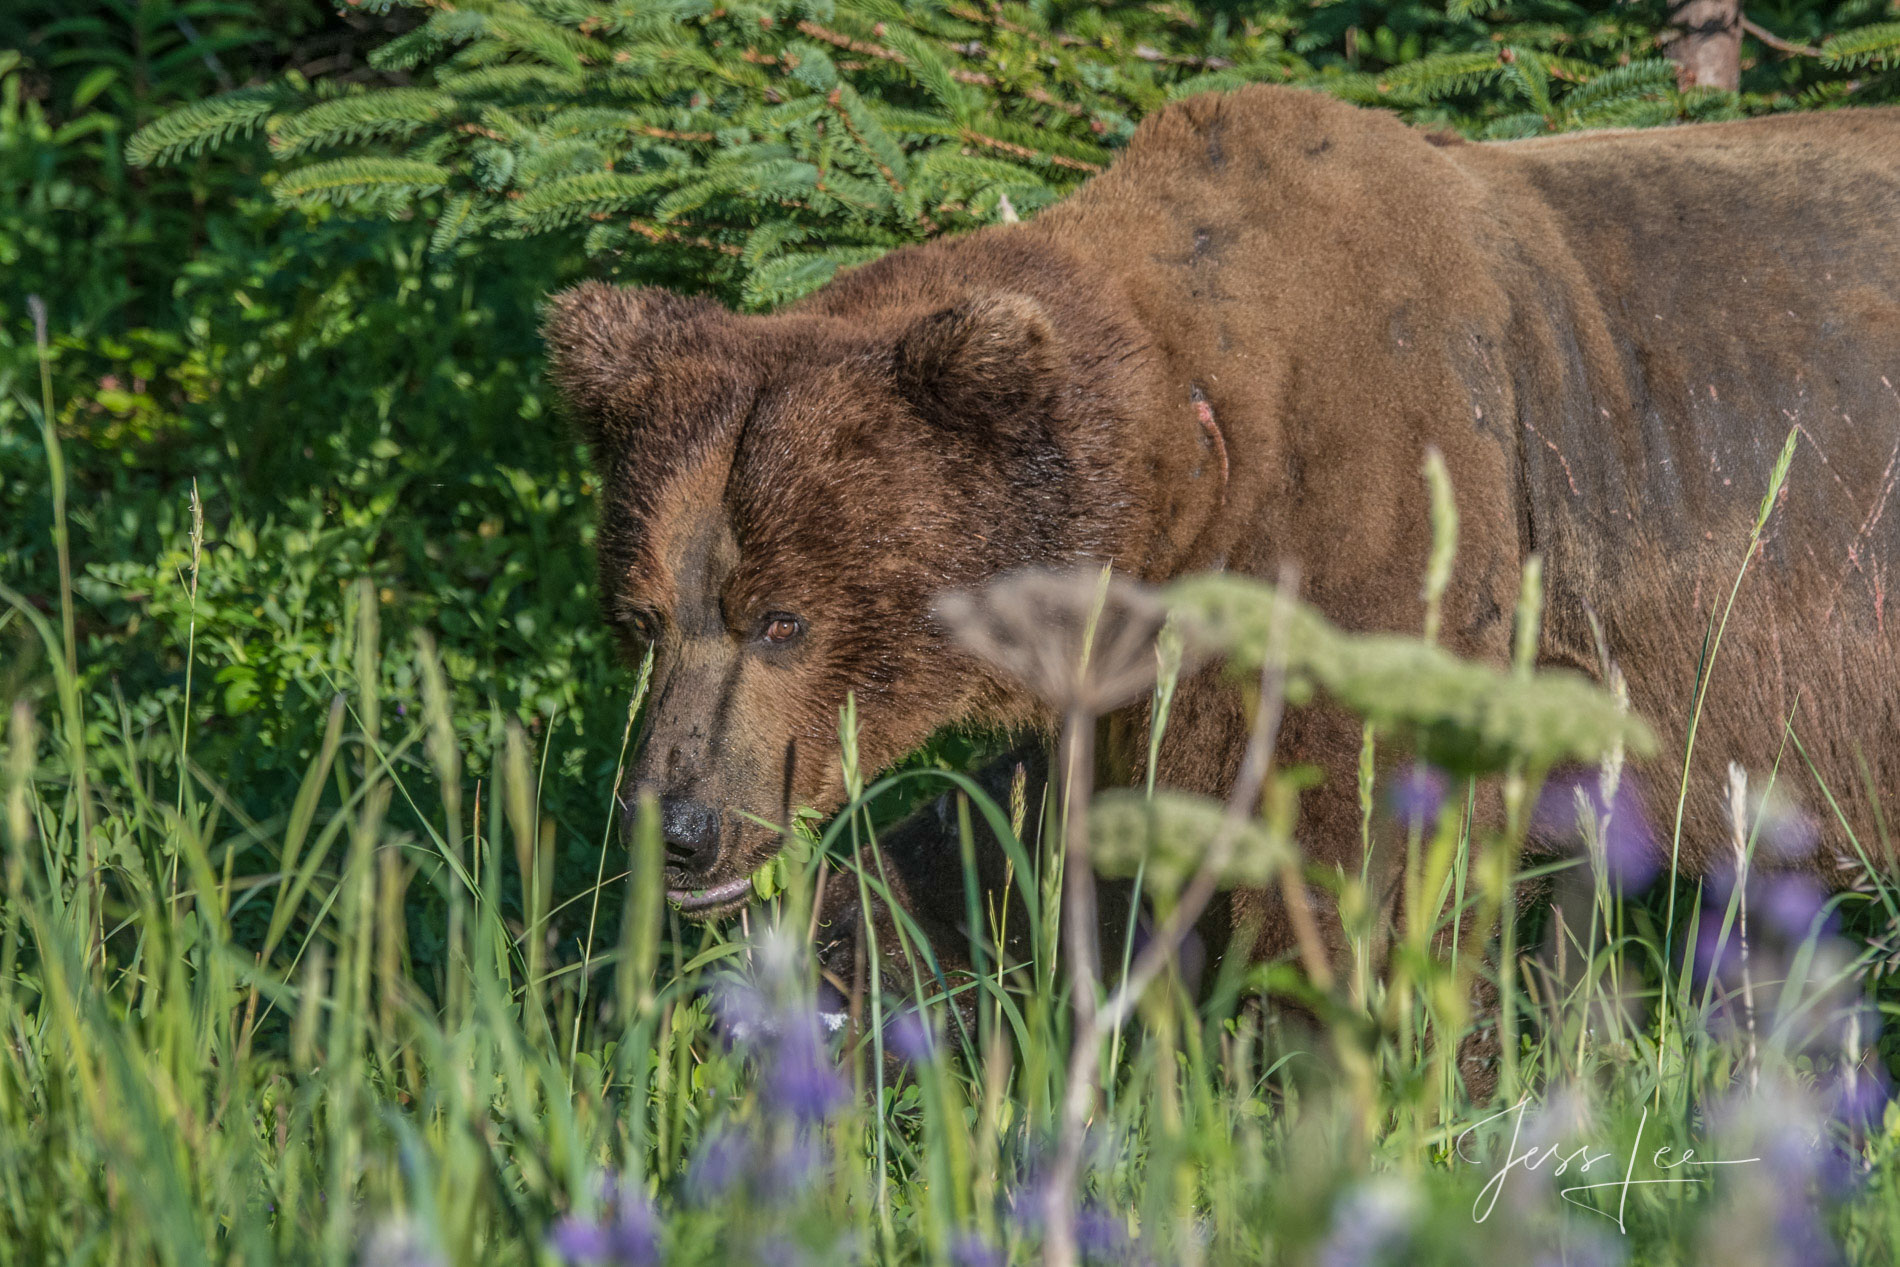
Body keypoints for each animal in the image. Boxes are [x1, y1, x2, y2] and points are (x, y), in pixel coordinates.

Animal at [547, 86, 1900, 980]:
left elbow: (1355, 859)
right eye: (641, 618)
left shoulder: (1387, 524)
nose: (677, 825)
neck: (1190, 467)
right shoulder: (1146, 684)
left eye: (783, 617)